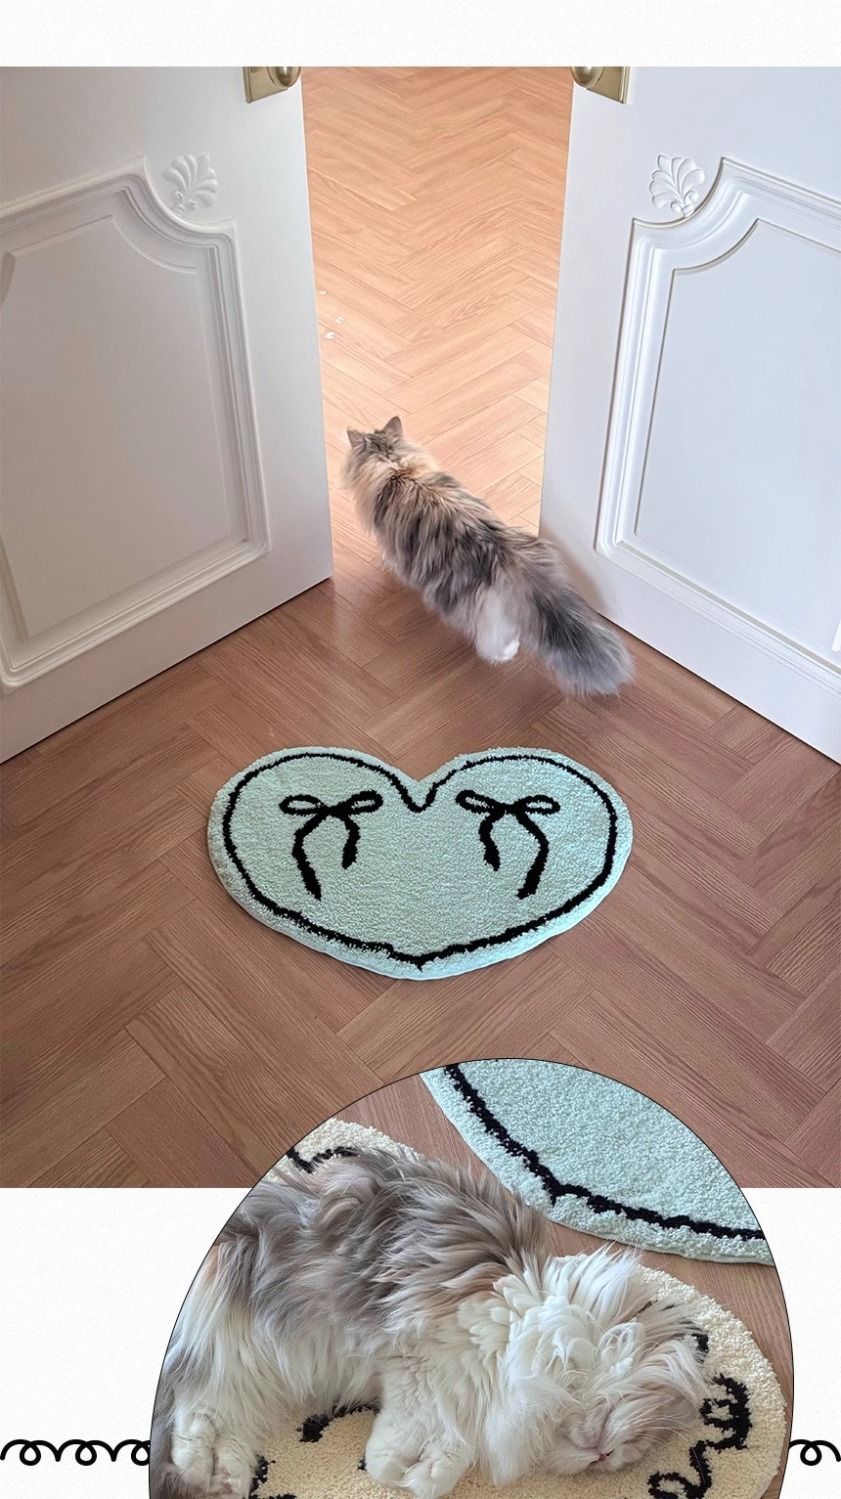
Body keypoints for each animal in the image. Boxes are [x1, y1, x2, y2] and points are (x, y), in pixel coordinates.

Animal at [150, 1150, 706, 1499]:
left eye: (631, 1454)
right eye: (637, 1440)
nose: (607, 1457)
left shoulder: (451, 1397)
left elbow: (444, 1453)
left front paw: (416, 1476)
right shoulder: (422, 1361)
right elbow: (402, 1433)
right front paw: (389, 1472)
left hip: (244, 1375)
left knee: (213, 1421)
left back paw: (223, 1481)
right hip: (220, 1331)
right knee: (193, 1420)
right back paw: (203, 1473)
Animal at [345, 417, 632, 693]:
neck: (396, 466)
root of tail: (507, 553)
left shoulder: (391, 539)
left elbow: (392, 556)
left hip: (477, 604)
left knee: (492, 637)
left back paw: (500, 656)